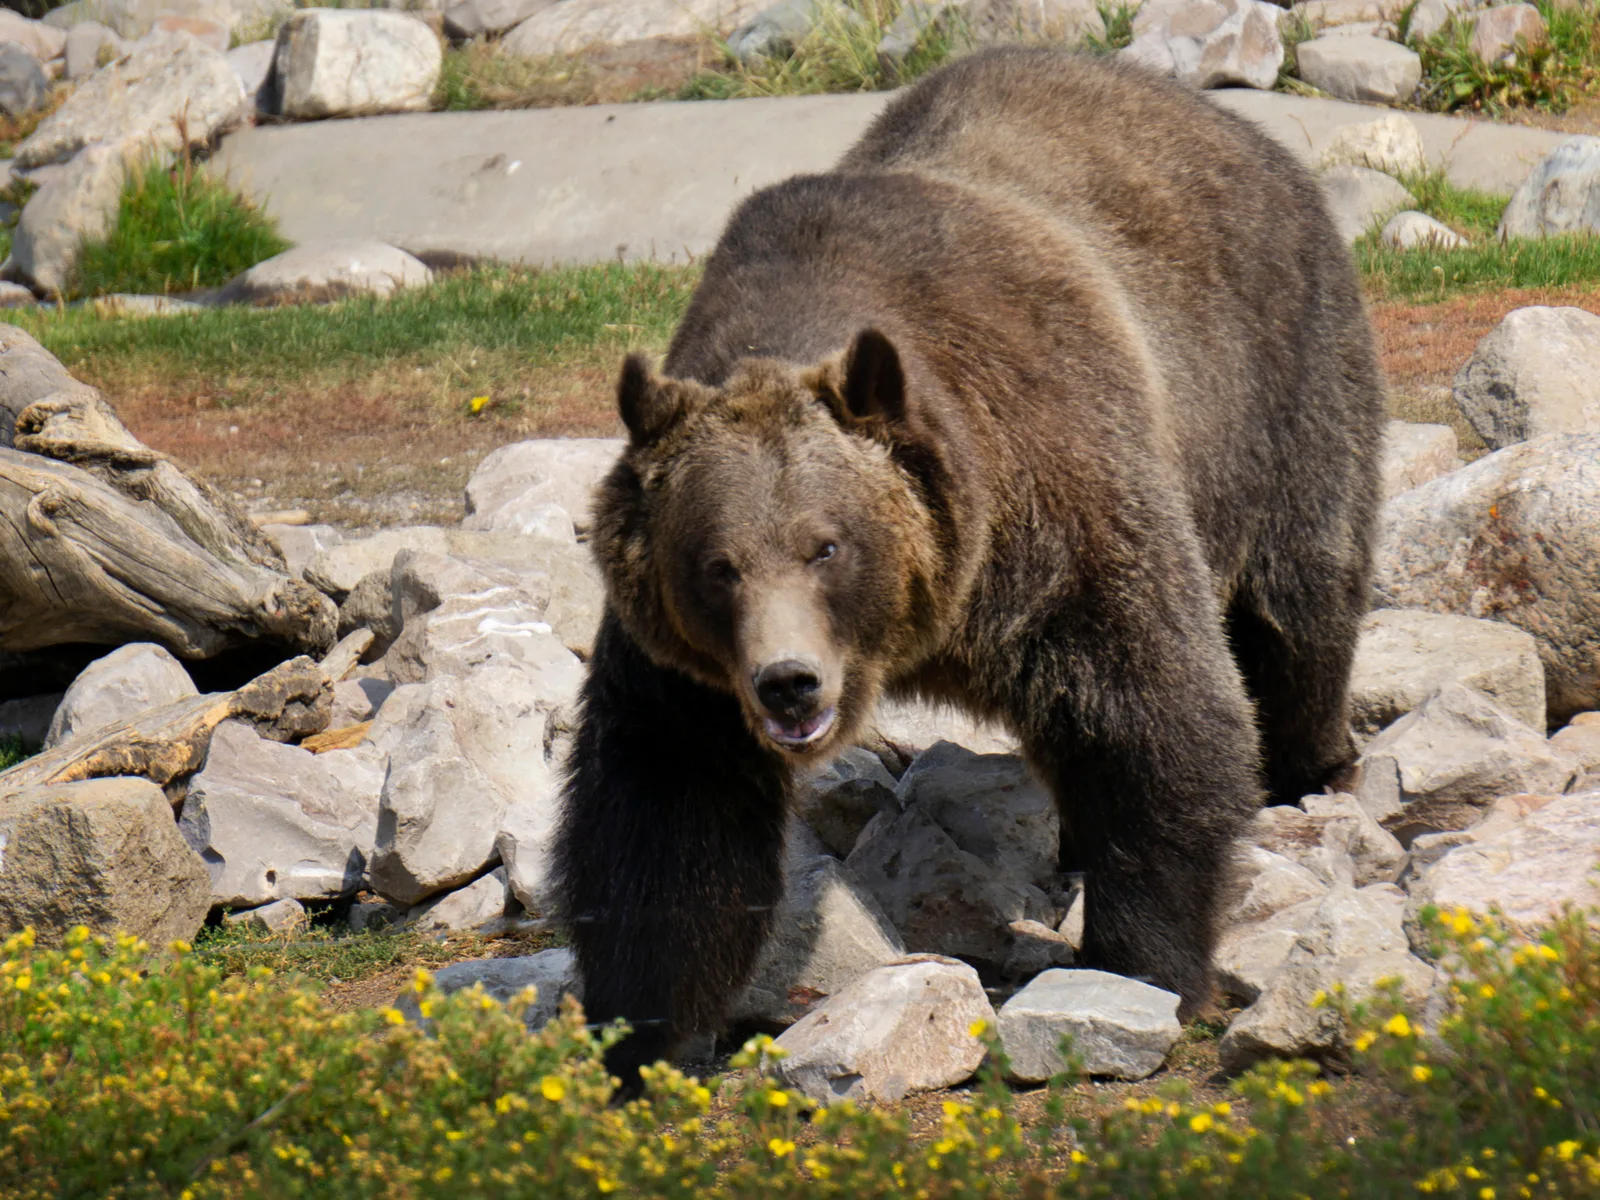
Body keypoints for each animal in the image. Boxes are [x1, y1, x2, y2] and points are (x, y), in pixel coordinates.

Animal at [553, 47, 1388, 1088]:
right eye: (717, 566)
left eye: (827, 544)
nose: (788, 683)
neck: (928, 624)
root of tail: (1219, 116)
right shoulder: (687, 675)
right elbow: (665, 810)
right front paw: (637, 1034)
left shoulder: (1058, 511)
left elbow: (1158, 710)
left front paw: (1139, 966)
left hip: (1274, 386)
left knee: (1297, 608)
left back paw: (1309, 766)